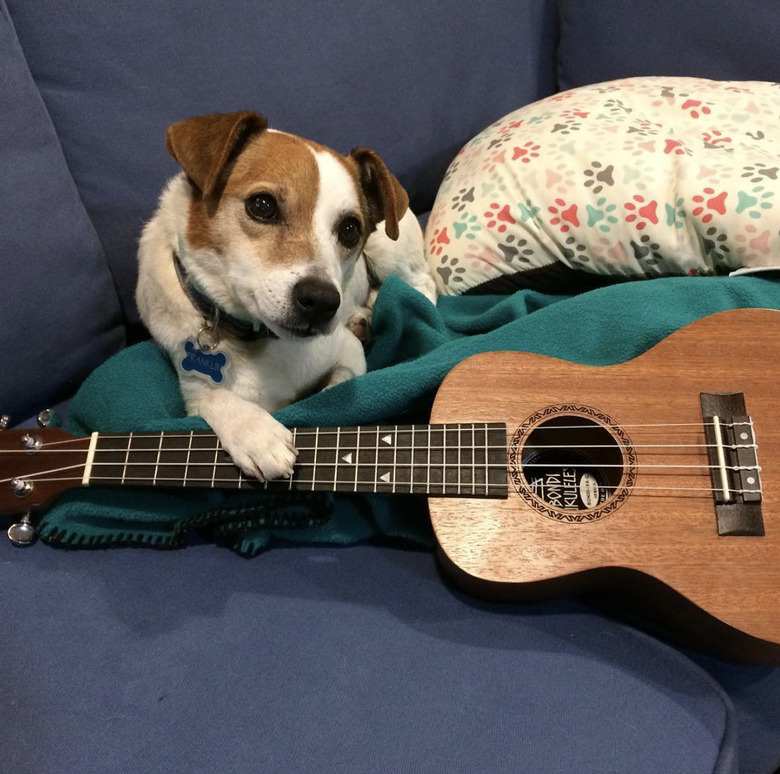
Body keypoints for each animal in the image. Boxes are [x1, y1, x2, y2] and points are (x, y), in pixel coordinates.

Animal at [136, 111, 436, 482]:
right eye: (262, 205)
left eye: (350, 229)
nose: (322, 302)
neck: (259, 338)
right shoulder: (192, 389)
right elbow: (215, 399)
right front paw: (257, 435)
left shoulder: (349, 355)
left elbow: (329, 393)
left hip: (389, 249)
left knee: (420, 282)